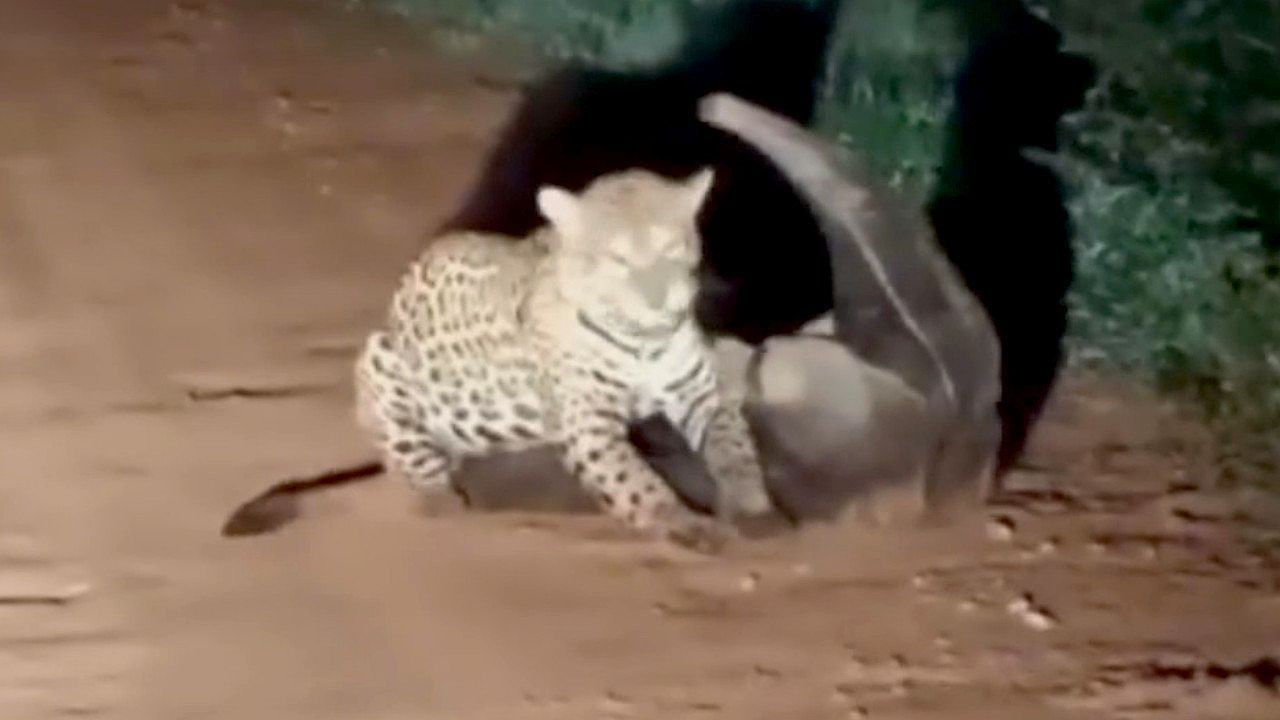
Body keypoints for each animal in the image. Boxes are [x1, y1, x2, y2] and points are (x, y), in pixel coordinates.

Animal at [353, 167, 772, 552]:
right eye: (617, 259)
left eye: (671, 247)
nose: (657, 300)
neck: (645, 341)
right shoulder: (588, 422)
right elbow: (635, 481)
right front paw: (685, 523)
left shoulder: (701, 395)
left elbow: (734, 448)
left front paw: (752, 508)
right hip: (380, 360)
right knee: (410, 461)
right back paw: (439, 500)